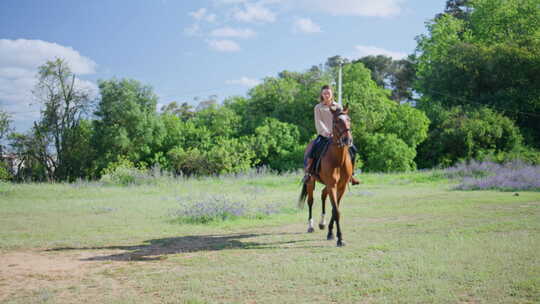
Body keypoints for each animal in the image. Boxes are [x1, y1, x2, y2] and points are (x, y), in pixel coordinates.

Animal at [298, 104, 352, 247]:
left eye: (349, 119)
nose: (348, 139)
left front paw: (331, 233)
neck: (338, 160)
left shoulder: (340, 187)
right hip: (311, 181)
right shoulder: (332, 185)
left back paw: (322, 223)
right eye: (337, 121)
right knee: (310, 201)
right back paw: (310, 226)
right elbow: (336, 211)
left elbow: (335, 209)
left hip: (326, 185)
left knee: (323, 195)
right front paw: (340, 239)